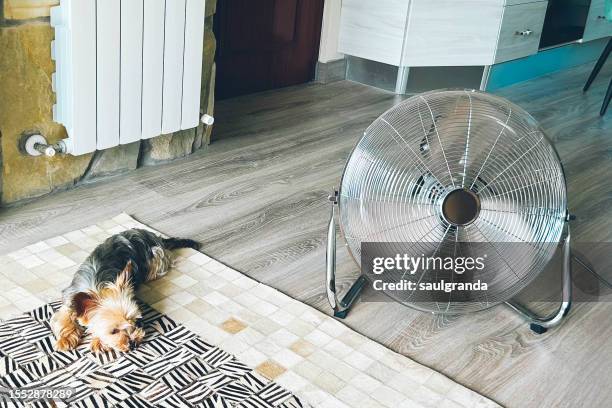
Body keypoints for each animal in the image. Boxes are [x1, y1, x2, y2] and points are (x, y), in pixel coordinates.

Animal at [50, 228, 198, 352]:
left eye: (136, 321)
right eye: (113, 331)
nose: (133, 343)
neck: (97, 287)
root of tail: (150, 234)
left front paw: (99, 342)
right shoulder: (70, 299)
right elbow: (63, 318)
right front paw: (65, 339)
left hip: (156, 255)